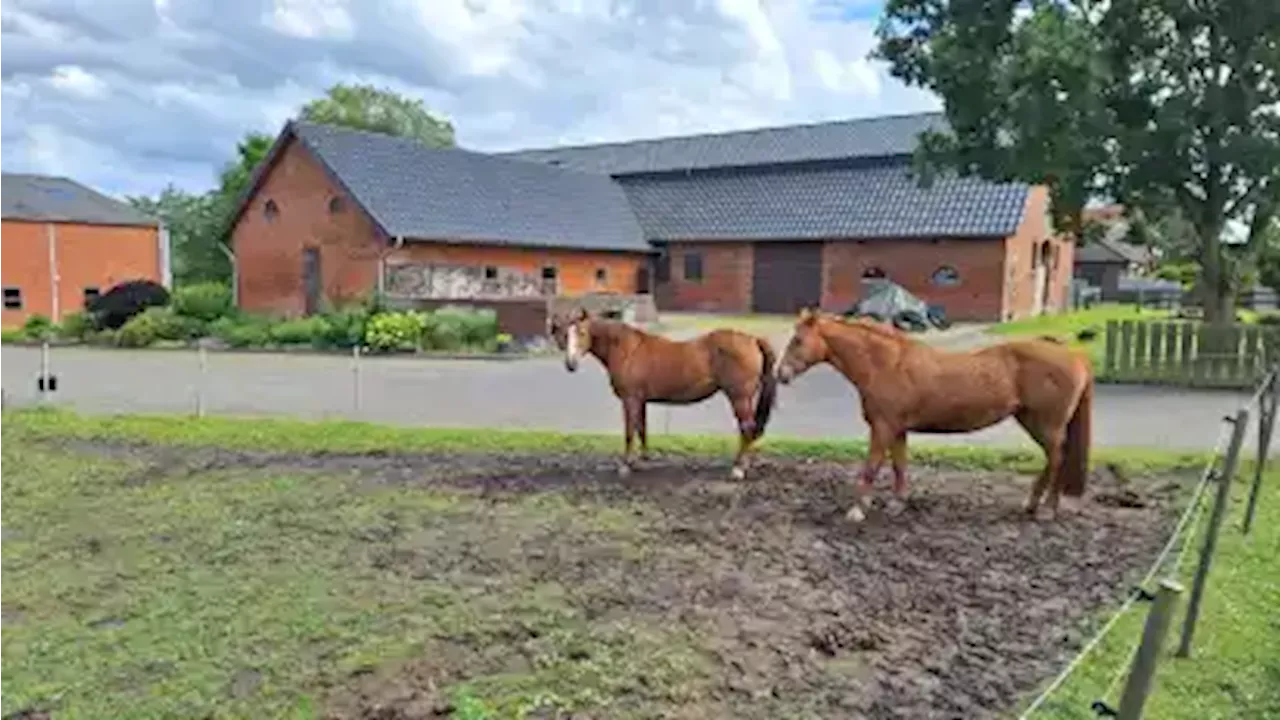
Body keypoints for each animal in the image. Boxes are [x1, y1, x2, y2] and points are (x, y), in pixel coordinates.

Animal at [545, 307, 773, 476]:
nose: (571, 364)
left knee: (747, 427)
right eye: (564, 334)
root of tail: (752, 339)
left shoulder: (630, 399)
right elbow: (642, 428)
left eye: (582, 333)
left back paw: (739, 468)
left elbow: (630, 431)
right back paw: (746, 463)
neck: (627, 349)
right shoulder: (640, 400)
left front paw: (626, 465)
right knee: (750, 429)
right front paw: (643, 460)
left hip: (739, 398)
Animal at [768, 308, 1090, 520]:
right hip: (1033, 421)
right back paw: (1034, 505)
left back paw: (1046, 509)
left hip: (1046, 425)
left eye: (797, 340)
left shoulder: (883, 428)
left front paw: (858, 509)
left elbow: (872, 466)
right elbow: (899, 466)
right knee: (1054, 459)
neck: (887, 364)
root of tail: (1073, 355)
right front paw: (897, 503)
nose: (780, 374)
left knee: (1057, 458)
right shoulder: (897, 429)